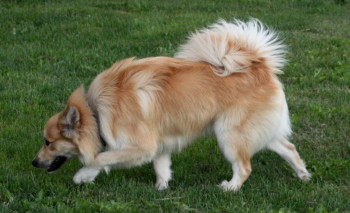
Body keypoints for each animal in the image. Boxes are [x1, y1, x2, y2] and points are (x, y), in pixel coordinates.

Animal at [32, 18, 310, 191]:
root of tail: (259, 65)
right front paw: (161, 188)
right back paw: (303, 174)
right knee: (288, 147)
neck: (96, 112)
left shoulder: (141, 145)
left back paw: (231, 188)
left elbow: (100, 157)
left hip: (229, 133)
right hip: (256, 130)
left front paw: (83, 175)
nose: (34, 162)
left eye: (48, 142)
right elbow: (161, 166)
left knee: (244, 167)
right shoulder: (159, 143)